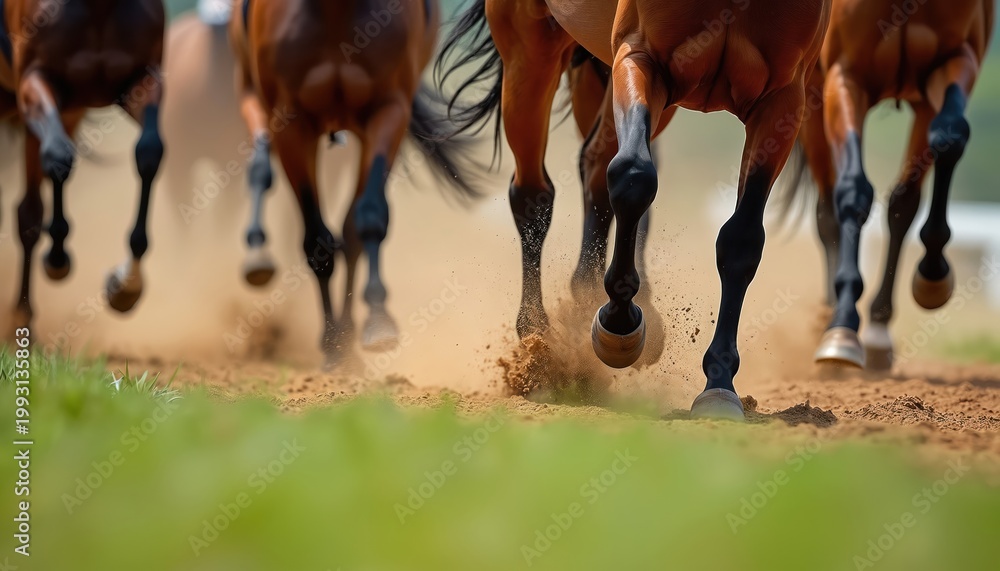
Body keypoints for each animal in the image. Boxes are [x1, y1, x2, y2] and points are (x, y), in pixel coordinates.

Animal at [0, 0, 166, 334]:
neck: (99, 7)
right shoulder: (33, 79)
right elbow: (59, 156)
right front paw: (57, 258)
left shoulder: (141, 78)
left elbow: (150, 151)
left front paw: (125, 285)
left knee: (28, 211)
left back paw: (22, 317)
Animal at [230, 0, 481, 367]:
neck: (336, 9)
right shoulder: (291, 122)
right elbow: (316, 239)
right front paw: (332, 342)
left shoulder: (389, 108)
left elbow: (367, 217)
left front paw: (376, 321)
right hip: (250, 88)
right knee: (260, 165)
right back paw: (258, 253)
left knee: (351, 230)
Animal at [438, 0, 831, 420]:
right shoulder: (640, 57)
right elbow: (633, 176)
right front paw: (618, 324)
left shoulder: (783, 99)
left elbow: (741, 240)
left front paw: (720, 382)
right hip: (528, 48)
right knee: (532, 192)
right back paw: (538, 345)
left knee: (594, 164)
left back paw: (582, 302)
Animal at [783, 0, 993, 370]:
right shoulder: (845, 76)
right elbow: (854, 192)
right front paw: (841, 328)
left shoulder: (954, 60)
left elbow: (948, 138)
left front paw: (932, 276)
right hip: (811, 104)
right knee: (826, 213)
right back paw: (829, 320)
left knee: (901, 205)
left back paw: (878, 331)